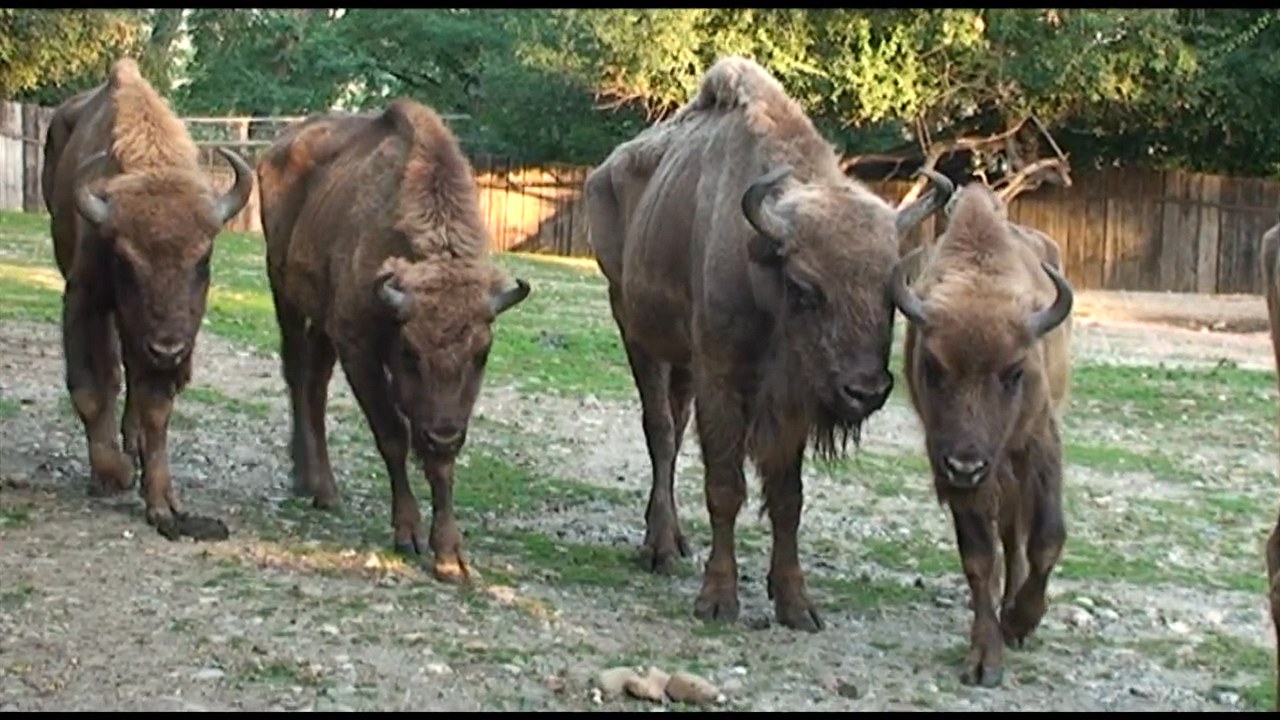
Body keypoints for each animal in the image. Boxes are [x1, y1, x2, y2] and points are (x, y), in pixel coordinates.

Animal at [41, 57, 254, 541]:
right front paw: (115, 474)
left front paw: (162, 505)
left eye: (204, 257)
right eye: (124, 259)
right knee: (113, 373)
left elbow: (156, 407)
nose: (168, 349)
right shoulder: (84, 300)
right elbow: (90, 389)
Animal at [255, 99, 531, 583]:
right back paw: (307, 479)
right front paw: (408, 533)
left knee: (315, 383)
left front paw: (450, 555)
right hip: (283, 289)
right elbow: (392, 434)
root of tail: (280, 144)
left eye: (483, 353)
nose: (443, 434)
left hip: (322, 320)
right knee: (296, 371)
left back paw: (323, 488)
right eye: (409, 351)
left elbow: (439, 464)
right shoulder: (359, 347)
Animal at [584, 56, 954, 631]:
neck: (760, 260)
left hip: (682, 359)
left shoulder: (792, 398)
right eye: (804, 288)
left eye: (892, 291)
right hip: (634, 326)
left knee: (674, 426)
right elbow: (725, 486)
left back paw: (674, 539)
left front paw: (796, 603)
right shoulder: (723, 377)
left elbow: (787, 498)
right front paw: (718, 599)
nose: (865, 391)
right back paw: (660, 548)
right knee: (661, 432)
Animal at [889, 181, 1074, 687]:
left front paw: (1020, 622)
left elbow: (1047, 538)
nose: (967, 463)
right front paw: (985, 657)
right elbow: (978, 557)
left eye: (1014, 372)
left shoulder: (1039, 443)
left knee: (1016, 533)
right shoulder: (950, 469)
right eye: (932, 367)